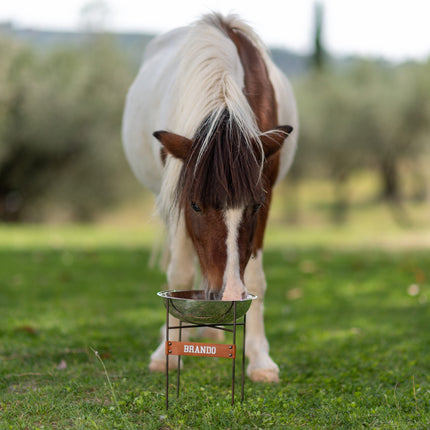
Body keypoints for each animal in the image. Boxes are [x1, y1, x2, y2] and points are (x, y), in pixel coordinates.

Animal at [121, 12, 296, 382]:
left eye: (255, 205)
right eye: (195, 204)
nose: (228, 294)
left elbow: (254, 277)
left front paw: (259, 359)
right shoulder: (177, 197)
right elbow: (180, 273)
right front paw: (167, 355)